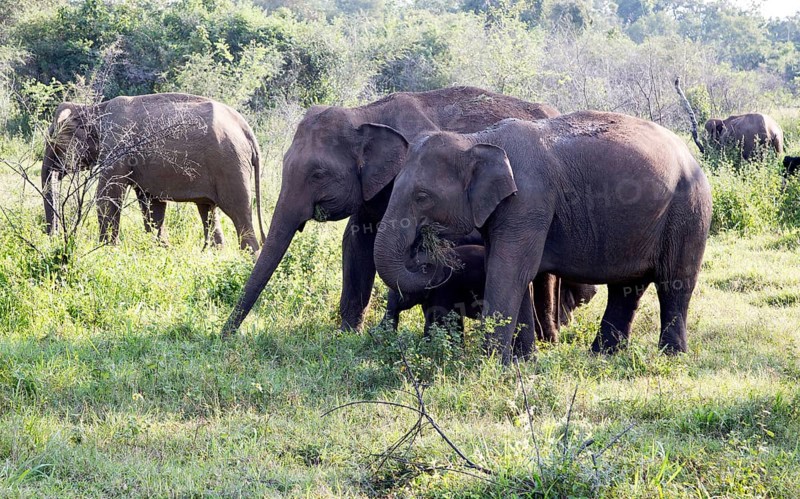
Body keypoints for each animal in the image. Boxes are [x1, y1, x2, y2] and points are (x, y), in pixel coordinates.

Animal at [42, 93, 265, 250]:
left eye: (53, 142)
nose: (52, 237)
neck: (94, 109)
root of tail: (247, 131)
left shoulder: (118, 144)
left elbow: (108, 196)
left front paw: (107, 249)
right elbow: (152, 204)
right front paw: (161, 248)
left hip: (230, 165)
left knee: (238, 212)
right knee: (208, 210)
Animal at [221, 86, 562, 336]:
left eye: (318, 174)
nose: (227, 336)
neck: (366, 113)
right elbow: (356, 243)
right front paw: (348, 335)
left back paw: (548, 336)